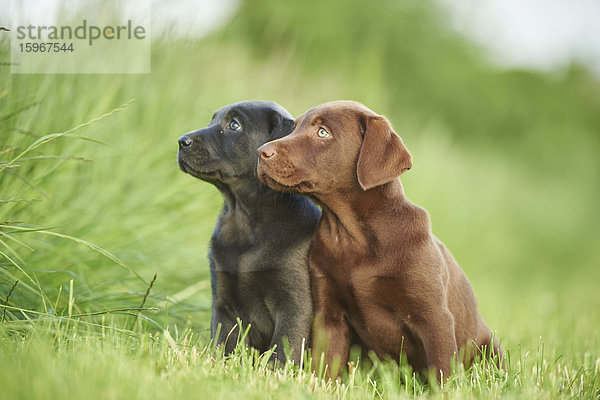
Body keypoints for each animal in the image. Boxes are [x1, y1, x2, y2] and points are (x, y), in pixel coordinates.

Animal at [177, 100, 322, 362]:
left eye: (234, 125)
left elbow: (283, 351)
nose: (181, 141)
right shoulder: (224, 304)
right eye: (213, 120)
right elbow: (224, 345)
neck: (245, 218)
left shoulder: (295, 306)